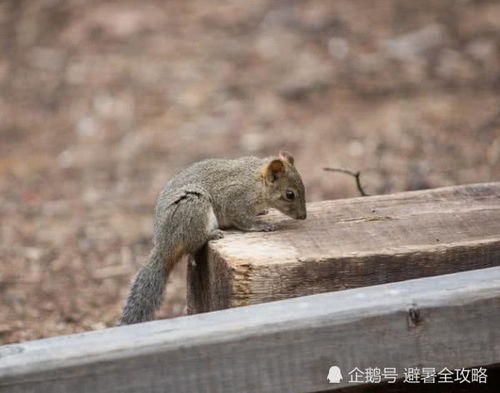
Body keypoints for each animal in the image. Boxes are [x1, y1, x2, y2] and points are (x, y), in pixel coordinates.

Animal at [121, 150, 306, 324]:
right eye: (290, 194)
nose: (303, 216)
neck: (256, 181)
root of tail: (164, 243)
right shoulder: (234, 201)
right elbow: (243, 221)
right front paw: (260, 225)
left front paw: (263, 212)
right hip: (194, 207)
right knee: (194, 242)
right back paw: (212, 234)